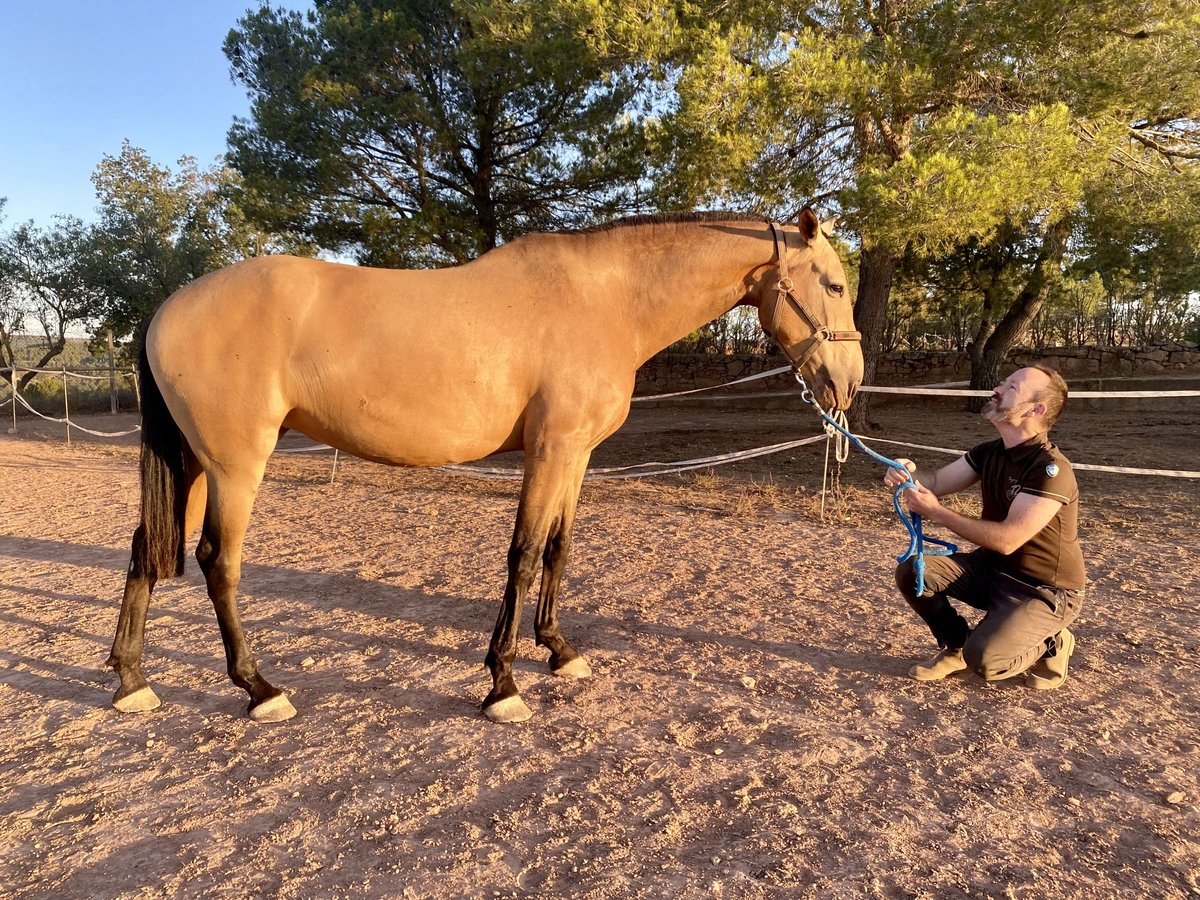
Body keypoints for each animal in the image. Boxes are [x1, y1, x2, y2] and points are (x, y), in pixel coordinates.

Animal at [108, 210, 864, 724]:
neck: (605, 300)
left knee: (146, 549)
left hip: (193, 463)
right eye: (832, 284)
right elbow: (523, 556)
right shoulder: (551, 450)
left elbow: (559, 549)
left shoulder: (577, 455)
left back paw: (131, 681)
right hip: (235, 465)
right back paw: (259, 689)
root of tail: (167, 309)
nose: (848, 382)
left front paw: (559, 651)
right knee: (218, 561)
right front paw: (503, 683)